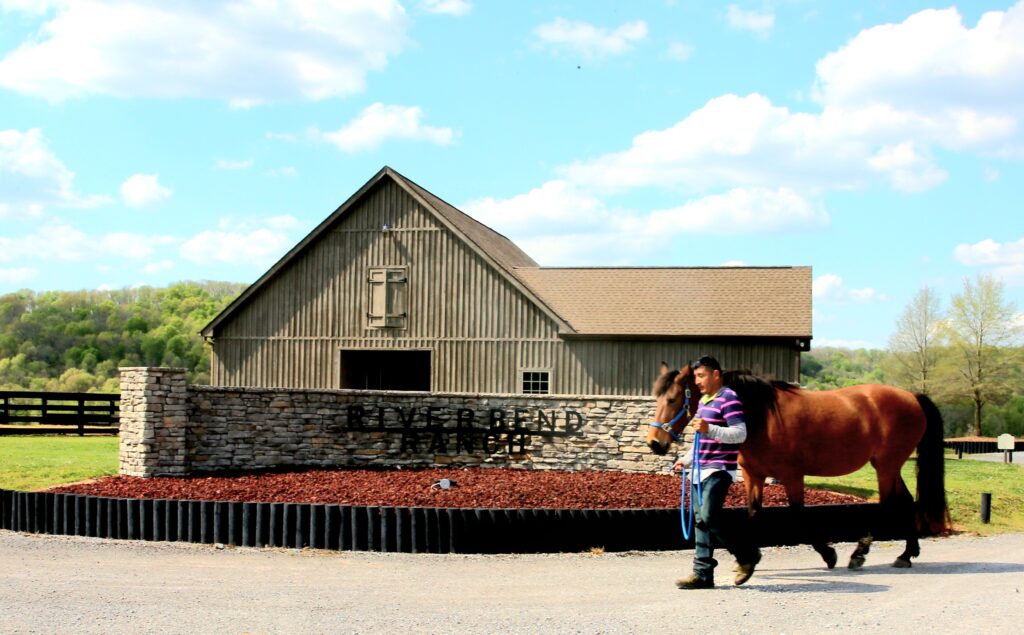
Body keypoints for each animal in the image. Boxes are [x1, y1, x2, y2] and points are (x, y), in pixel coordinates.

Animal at [651, 364, 946, 569]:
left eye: (673, 399)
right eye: (657, 397)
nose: (655, 443)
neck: (762, 416)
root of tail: (913, 397)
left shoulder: (792, 476)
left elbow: (798, 514)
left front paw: (828, 554)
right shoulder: (754, 475)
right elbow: (753, 512)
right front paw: (749, 557)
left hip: (885, 465)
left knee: (886, 505)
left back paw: (859, 553)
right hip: (891, 466)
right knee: (906, 502)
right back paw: (906, 554)